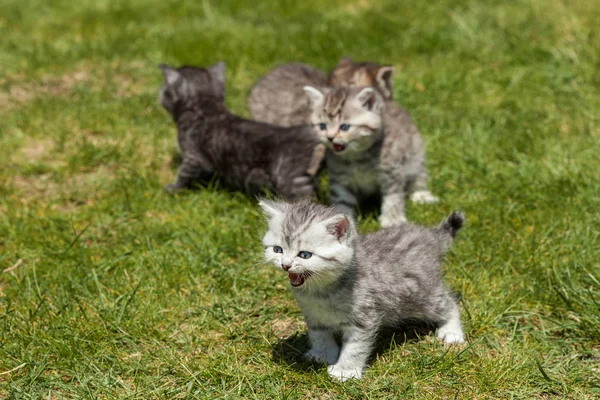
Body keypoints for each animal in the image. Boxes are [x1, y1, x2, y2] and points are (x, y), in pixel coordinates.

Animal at [157, 62, 322, 197]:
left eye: (163, 89)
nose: (158, 94)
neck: (205, 108)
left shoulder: (192, 158)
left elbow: (182, 175)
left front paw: (172, 188)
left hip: (292, 180)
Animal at [260, 200, 466, 382]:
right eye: (277, 249)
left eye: (304, 255)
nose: (286, 265)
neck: (321, 292)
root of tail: (430, 236)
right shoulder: (313, 315)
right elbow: (319, 335)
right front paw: (322, 354)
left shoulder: (363, 318)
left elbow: (354, 348)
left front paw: (345, 371)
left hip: (422, 295)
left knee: (449, 303)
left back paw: (452, 332)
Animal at [304, 85, 436, 227]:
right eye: (322, 126)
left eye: (344, 127)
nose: (330, 137)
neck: (357, 157)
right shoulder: (339, 179)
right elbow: (342, 201)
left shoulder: (391, 172)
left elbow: (393, 196)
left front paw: (392, 220)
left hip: (415, 154)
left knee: (418, 176)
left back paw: (421, 195)